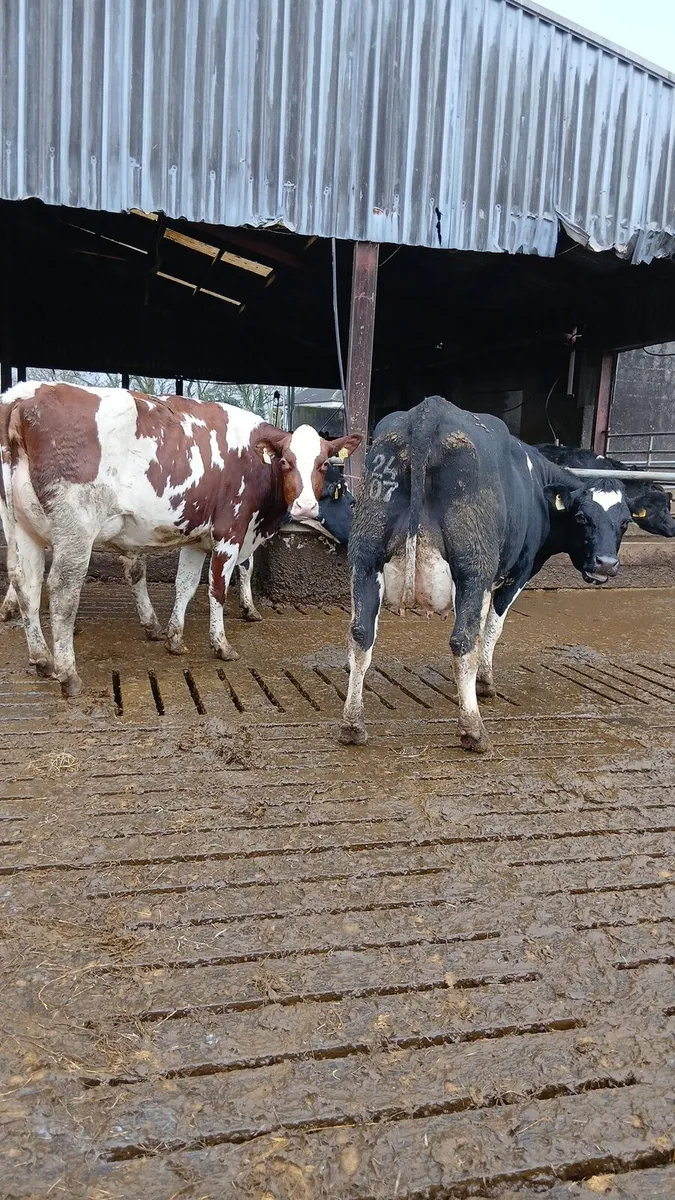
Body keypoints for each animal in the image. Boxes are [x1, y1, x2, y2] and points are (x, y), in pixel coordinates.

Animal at [0, 382, 360, 696]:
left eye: (323, 464)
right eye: (286, 461)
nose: (305, 506)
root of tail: (25, 395)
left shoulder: (197, 540)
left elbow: (184, 586)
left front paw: (174, 638)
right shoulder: (229, 533)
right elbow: (217, 589)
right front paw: (221, 644)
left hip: (21, 526)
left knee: (25, 582)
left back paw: (42, 659)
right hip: (75, 527)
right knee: (62, 592)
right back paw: (68, 674)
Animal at [340, 396, 632, 753]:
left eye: (625, 522)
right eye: (582, 518)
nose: (605, 564)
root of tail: (427, 412)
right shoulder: (517, 572)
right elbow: (491, 627)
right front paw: (485, 682)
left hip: (365, 558)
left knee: (361, 634)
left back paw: (353, 724)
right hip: (472, 566)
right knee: (461, 641)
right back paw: (473, 730)